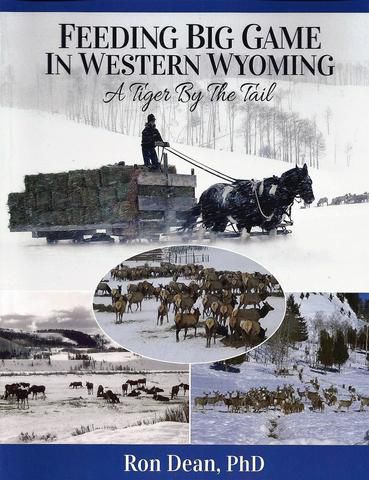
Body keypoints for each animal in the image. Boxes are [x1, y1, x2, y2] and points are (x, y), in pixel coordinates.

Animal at [181, 164, 314, 233]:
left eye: (311, 181)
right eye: (304, 182)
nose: (311, 199)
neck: (269, 195)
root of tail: (205, 192)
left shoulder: (271, 225)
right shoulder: (245, 224)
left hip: (221, 221)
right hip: (210, 220)